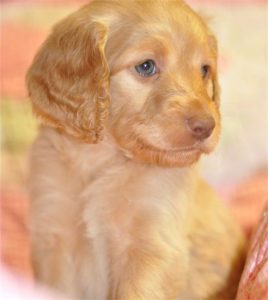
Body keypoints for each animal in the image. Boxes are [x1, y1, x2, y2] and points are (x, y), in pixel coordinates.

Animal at [26, 1, 245, 298]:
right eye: (146, 66)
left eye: (204, 70)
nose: (206, 126)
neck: (104, 162)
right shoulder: (55, 235)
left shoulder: (152, 248)